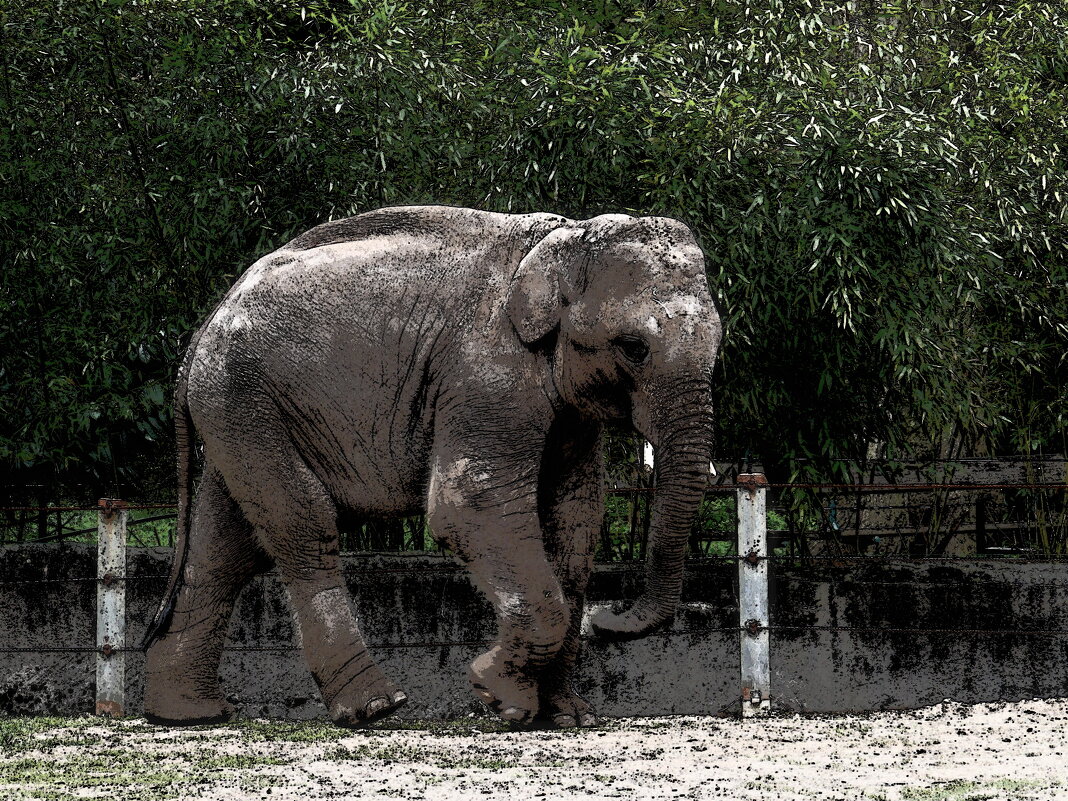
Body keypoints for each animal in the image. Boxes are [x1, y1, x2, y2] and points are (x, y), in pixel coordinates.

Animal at [142, 203, 721, 730]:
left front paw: (568, 717)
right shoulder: (485, 373)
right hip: (245, 397)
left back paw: (188, 715)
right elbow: (469, 507)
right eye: (633, 348)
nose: (606, 620)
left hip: (237, 410)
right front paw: (499, 700)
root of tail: (205, 324)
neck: (567, 237)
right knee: (301, 523)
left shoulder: (569, 413)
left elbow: (575, 524)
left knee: (225, 545)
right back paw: (376, 708)